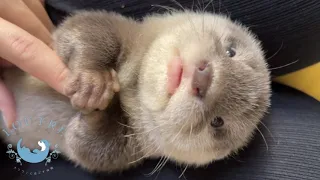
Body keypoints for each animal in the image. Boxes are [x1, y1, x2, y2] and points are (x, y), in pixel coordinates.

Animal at [0, 10, 270, 173]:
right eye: (231, 51)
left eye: (218, 122)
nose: (203, 79)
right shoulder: (120, 29)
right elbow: (91, 30)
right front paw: (93, 81)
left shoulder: (130, 151)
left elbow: (90, 149)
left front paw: (100, 108)